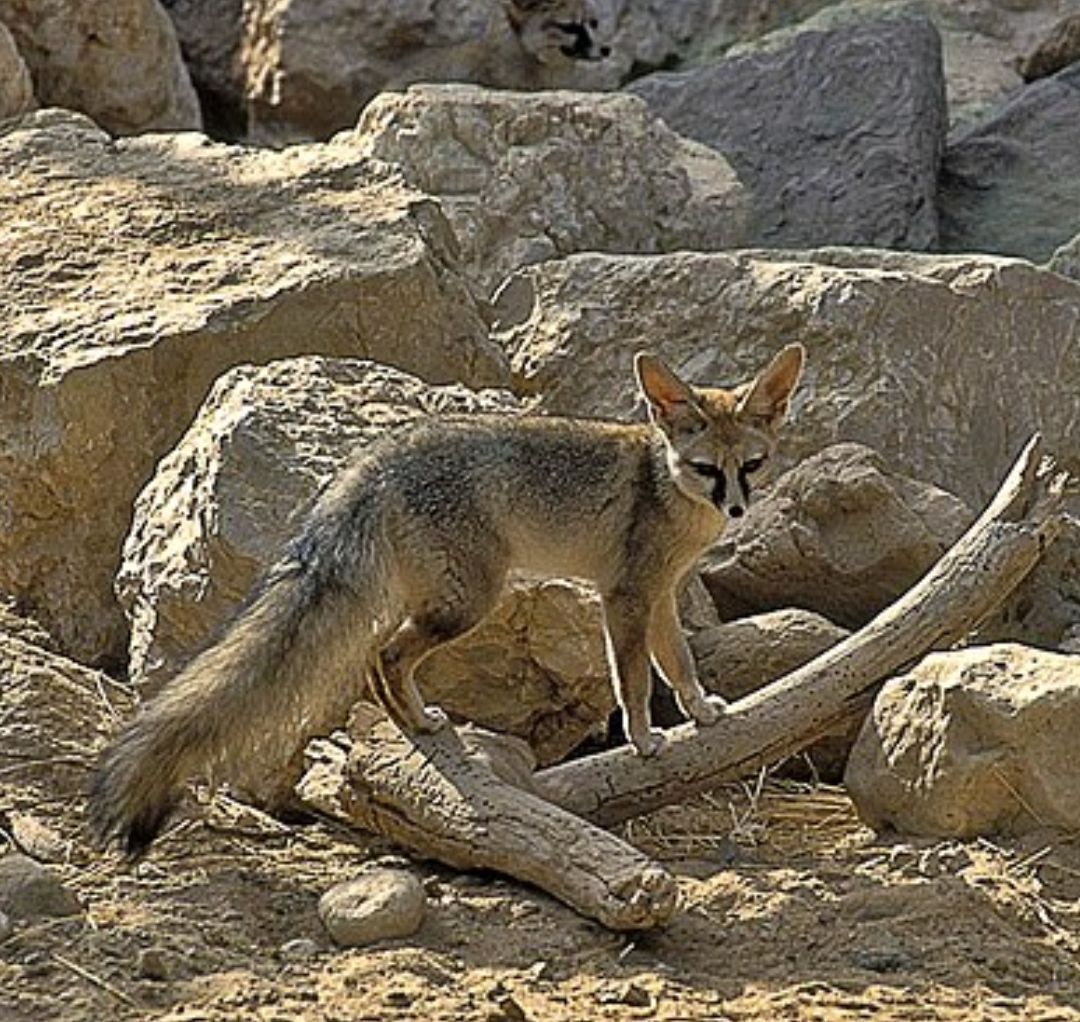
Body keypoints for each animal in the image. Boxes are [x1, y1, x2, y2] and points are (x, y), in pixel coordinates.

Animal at [90, 345, 803, 855]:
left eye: (752, 466)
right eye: (707, 470)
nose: (737, 511)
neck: (665, 487)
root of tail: (377, 458)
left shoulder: (660, 597)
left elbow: (678, 663)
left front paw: (703, 713)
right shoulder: (625, 595)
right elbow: (633, 678)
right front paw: (645, 740)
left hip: (444, 601)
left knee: (376, 656)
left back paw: (412, 727)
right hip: (471, 603)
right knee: (384, 654)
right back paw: (421, 724)